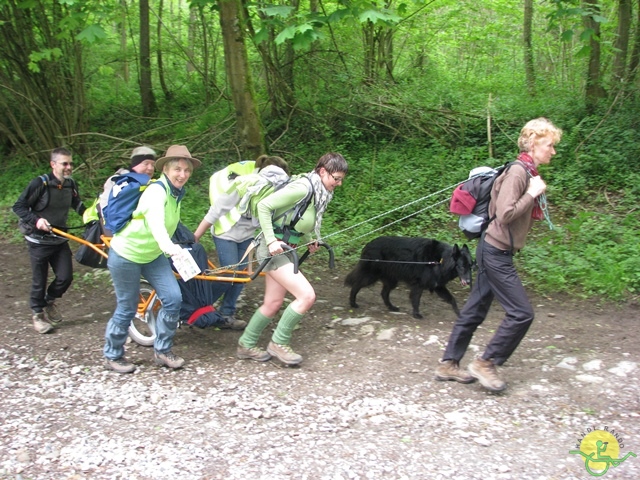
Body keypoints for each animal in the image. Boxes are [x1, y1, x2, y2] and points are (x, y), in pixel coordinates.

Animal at [344, 236, 476, 318]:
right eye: (462, 266)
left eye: (470, 266)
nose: (469, 281)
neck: (440, 260)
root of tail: (368, 244)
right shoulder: (419, 285)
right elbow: (416, 300)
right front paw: (416, 314)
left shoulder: (438, 286)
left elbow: (452, 299)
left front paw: (459, 314)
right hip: (371, 276)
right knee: (356, 285)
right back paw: (352, 302)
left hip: (391, 280)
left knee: (384, 293)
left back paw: (391, 307)